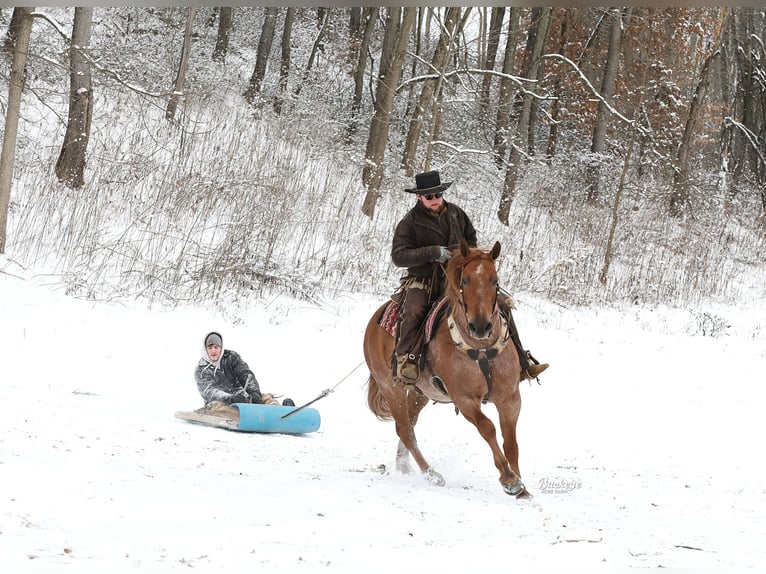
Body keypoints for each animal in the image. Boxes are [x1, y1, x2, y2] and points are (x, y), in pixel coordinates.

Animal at [364, 238, 532, 500]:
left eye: (495, 281)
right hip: (391, 387)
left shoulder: (510, 398)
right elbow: (488, 428)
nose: (481, 326)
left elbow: (511, 442)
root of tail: (374, 322)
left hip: (420, 394)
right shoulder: (465, 400)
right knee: (405, 430)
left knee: (409, 425)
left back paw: (404, 466)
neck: (481, 348)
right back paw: (431, 474)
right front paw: (509, 480)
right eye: (464, 281)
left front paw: (523, 490)